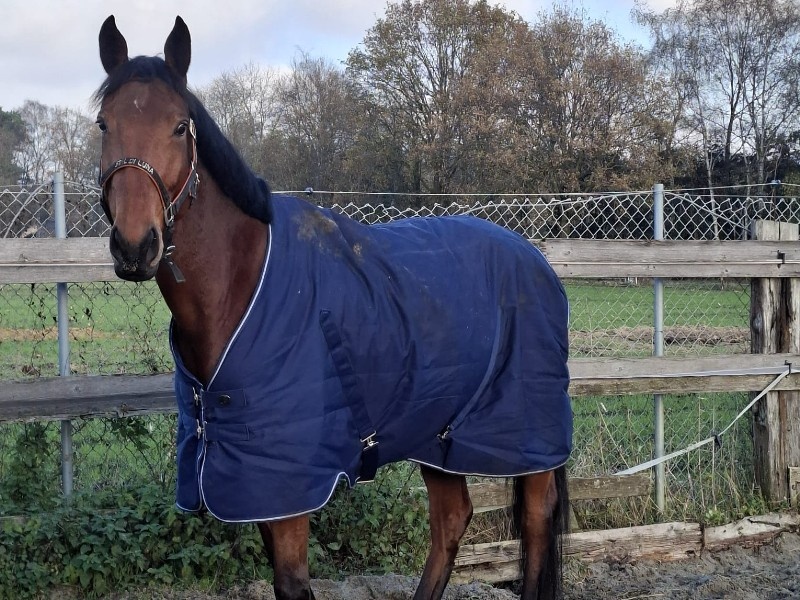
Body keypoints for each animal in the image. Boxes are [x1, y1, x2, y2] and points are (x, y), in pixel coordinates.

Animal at [94, 15, 572, 600]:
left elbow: (293, 583)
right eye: (103, 124)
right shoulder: (258, 480)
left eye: (180, 127)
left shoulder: (288, 481)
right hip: (437, 432)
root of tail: (534, 256)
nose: (135, 245)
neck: (242, 283)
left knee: (534, 520)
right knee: (452, 518)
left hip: (528, 436)